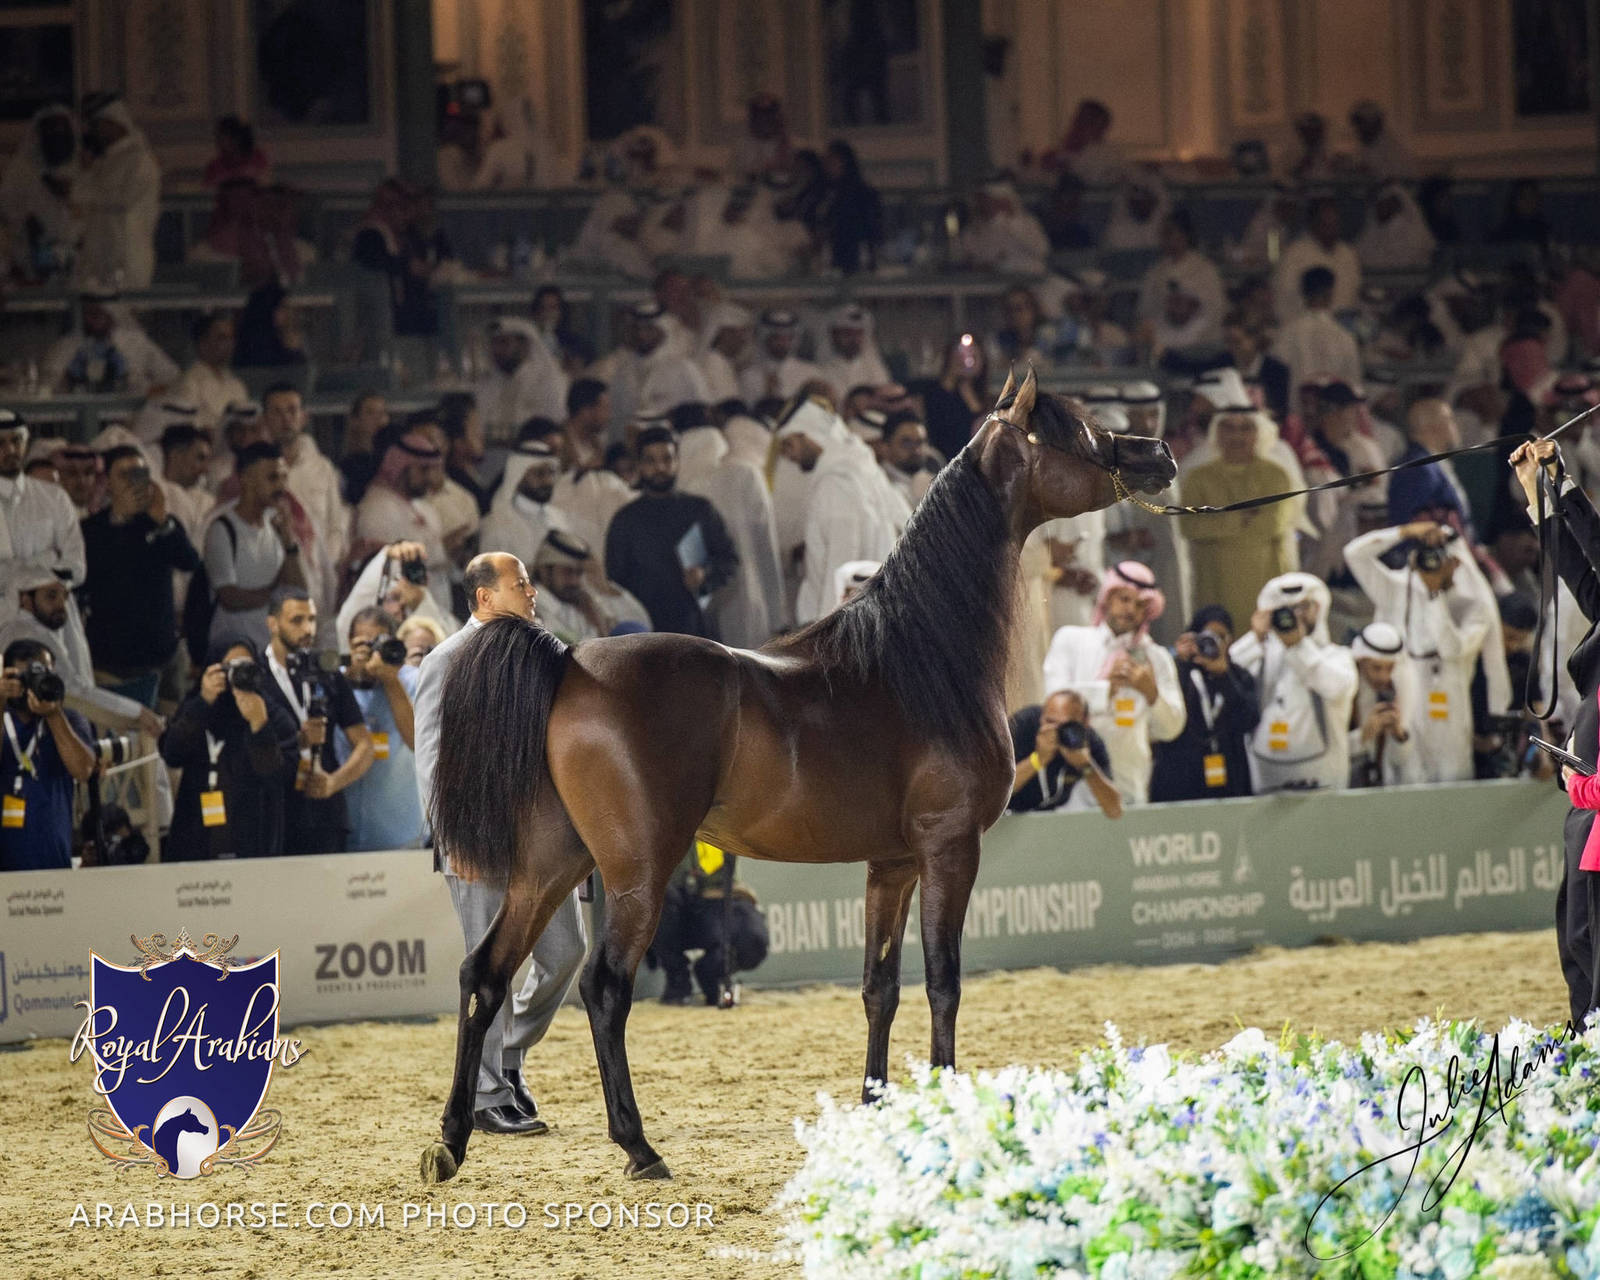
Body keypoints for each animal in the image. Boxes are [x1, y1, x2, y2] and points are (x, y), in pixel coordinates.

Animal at [420, 369, 1176, 1183]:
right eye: (1081, 432)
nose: (1159, 453)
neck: (921, 657)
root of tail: (569, 663)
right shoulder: (950, 848)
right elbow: (944, 980)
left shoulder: (893, 863)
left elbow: (881, 986)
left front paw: (879, 1105)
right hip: (635, 872)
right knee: (603, 987)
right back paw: (638, 1147)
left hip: (550, 864)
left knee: (486, 975)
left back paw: (451, 1141)